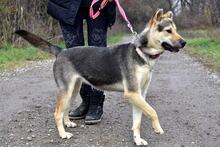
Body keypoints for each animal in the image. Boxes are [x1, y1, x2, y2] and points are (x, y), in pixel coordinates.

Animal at [15, 9, 186, 146]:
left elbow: (137, 121)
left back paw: (68, 123)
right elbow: (153, 111)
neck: (142, 53)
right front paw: (157, 128)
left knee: (65, 109)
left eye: (176, 30)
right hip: (66, 90)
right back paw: (63, 134)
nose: (184, 42)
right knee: (57, 113)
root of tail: (61, 51)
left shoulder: (139, 95)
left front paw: (137, 140)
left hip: (73, 90)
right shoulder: (132, 93)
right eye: (168, 31)